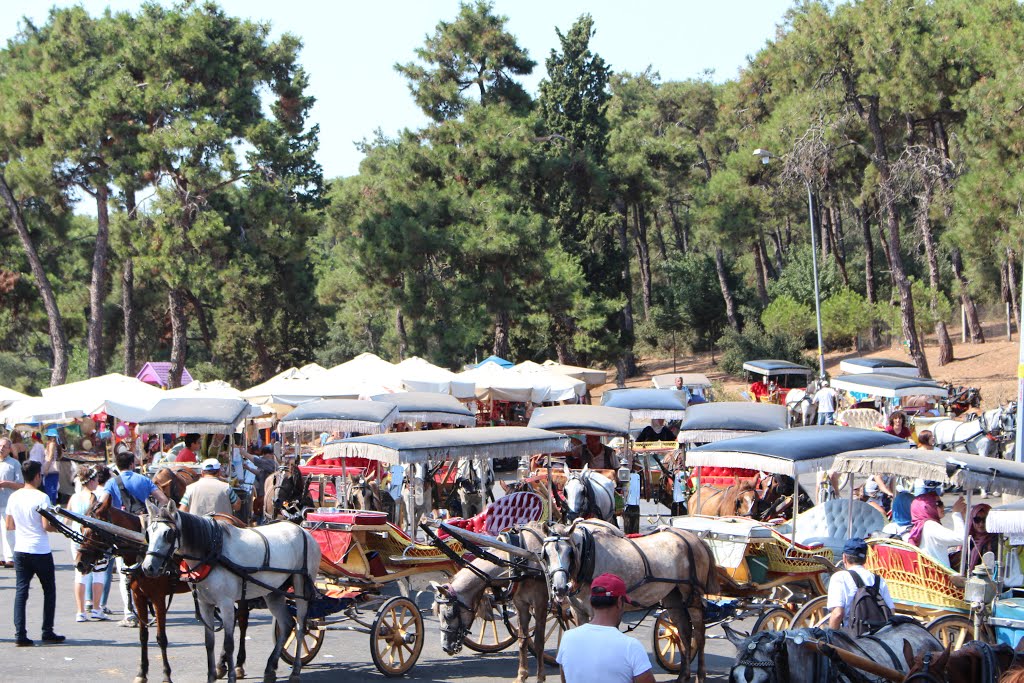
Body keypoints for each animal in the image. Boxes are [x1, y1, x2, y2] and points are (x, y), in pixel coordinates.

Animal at [78, 497, 253, 683]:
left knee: (242, 619)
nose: (80, 563)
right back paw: (221, 665)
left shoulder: (158, 597)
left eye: (95, 532)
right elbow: (143, 636)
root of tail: (237, 521)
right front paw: (141, 673)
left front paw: (166, 674)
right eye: (81, 527)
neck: (141, 550)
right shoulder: (139, 596)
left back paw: (238, 664)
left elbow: (161, 638)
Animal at [138, 499, 317, 683]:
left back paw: (295, 670)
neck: (212, 552)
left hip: (302, 587)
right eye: (148, 533)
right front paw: (211, 676)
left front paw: (231, 675)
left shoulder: (226, 604)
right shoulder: (205, 604)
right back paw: (269, 669)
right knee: (287, 624)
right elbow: (209, 642)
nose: (148, 567)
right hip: (273, 591)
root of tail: (303, 530)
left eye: (168, 534)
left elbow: (229, 643)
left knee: (301, 626)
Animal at [434, 520, 561, 679]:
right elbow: (522, 640)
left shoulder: (540, 603)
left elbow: (539, 642)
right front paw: (522, 675)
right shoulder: (521, 604)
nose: (446, 647)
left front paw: (540, 676)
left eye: (449, 614)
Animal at [540, 520, 716, 679]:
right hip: (673, 597)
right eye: (545, 555)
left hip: (692, 597)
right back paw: (683, 676)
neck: (589, 558)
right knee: (684, 632)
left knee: (699, 634)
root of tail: (695, 539)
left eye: (570, 552)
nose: (560, 588)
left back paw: (700, 675)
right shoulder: (579, 612)